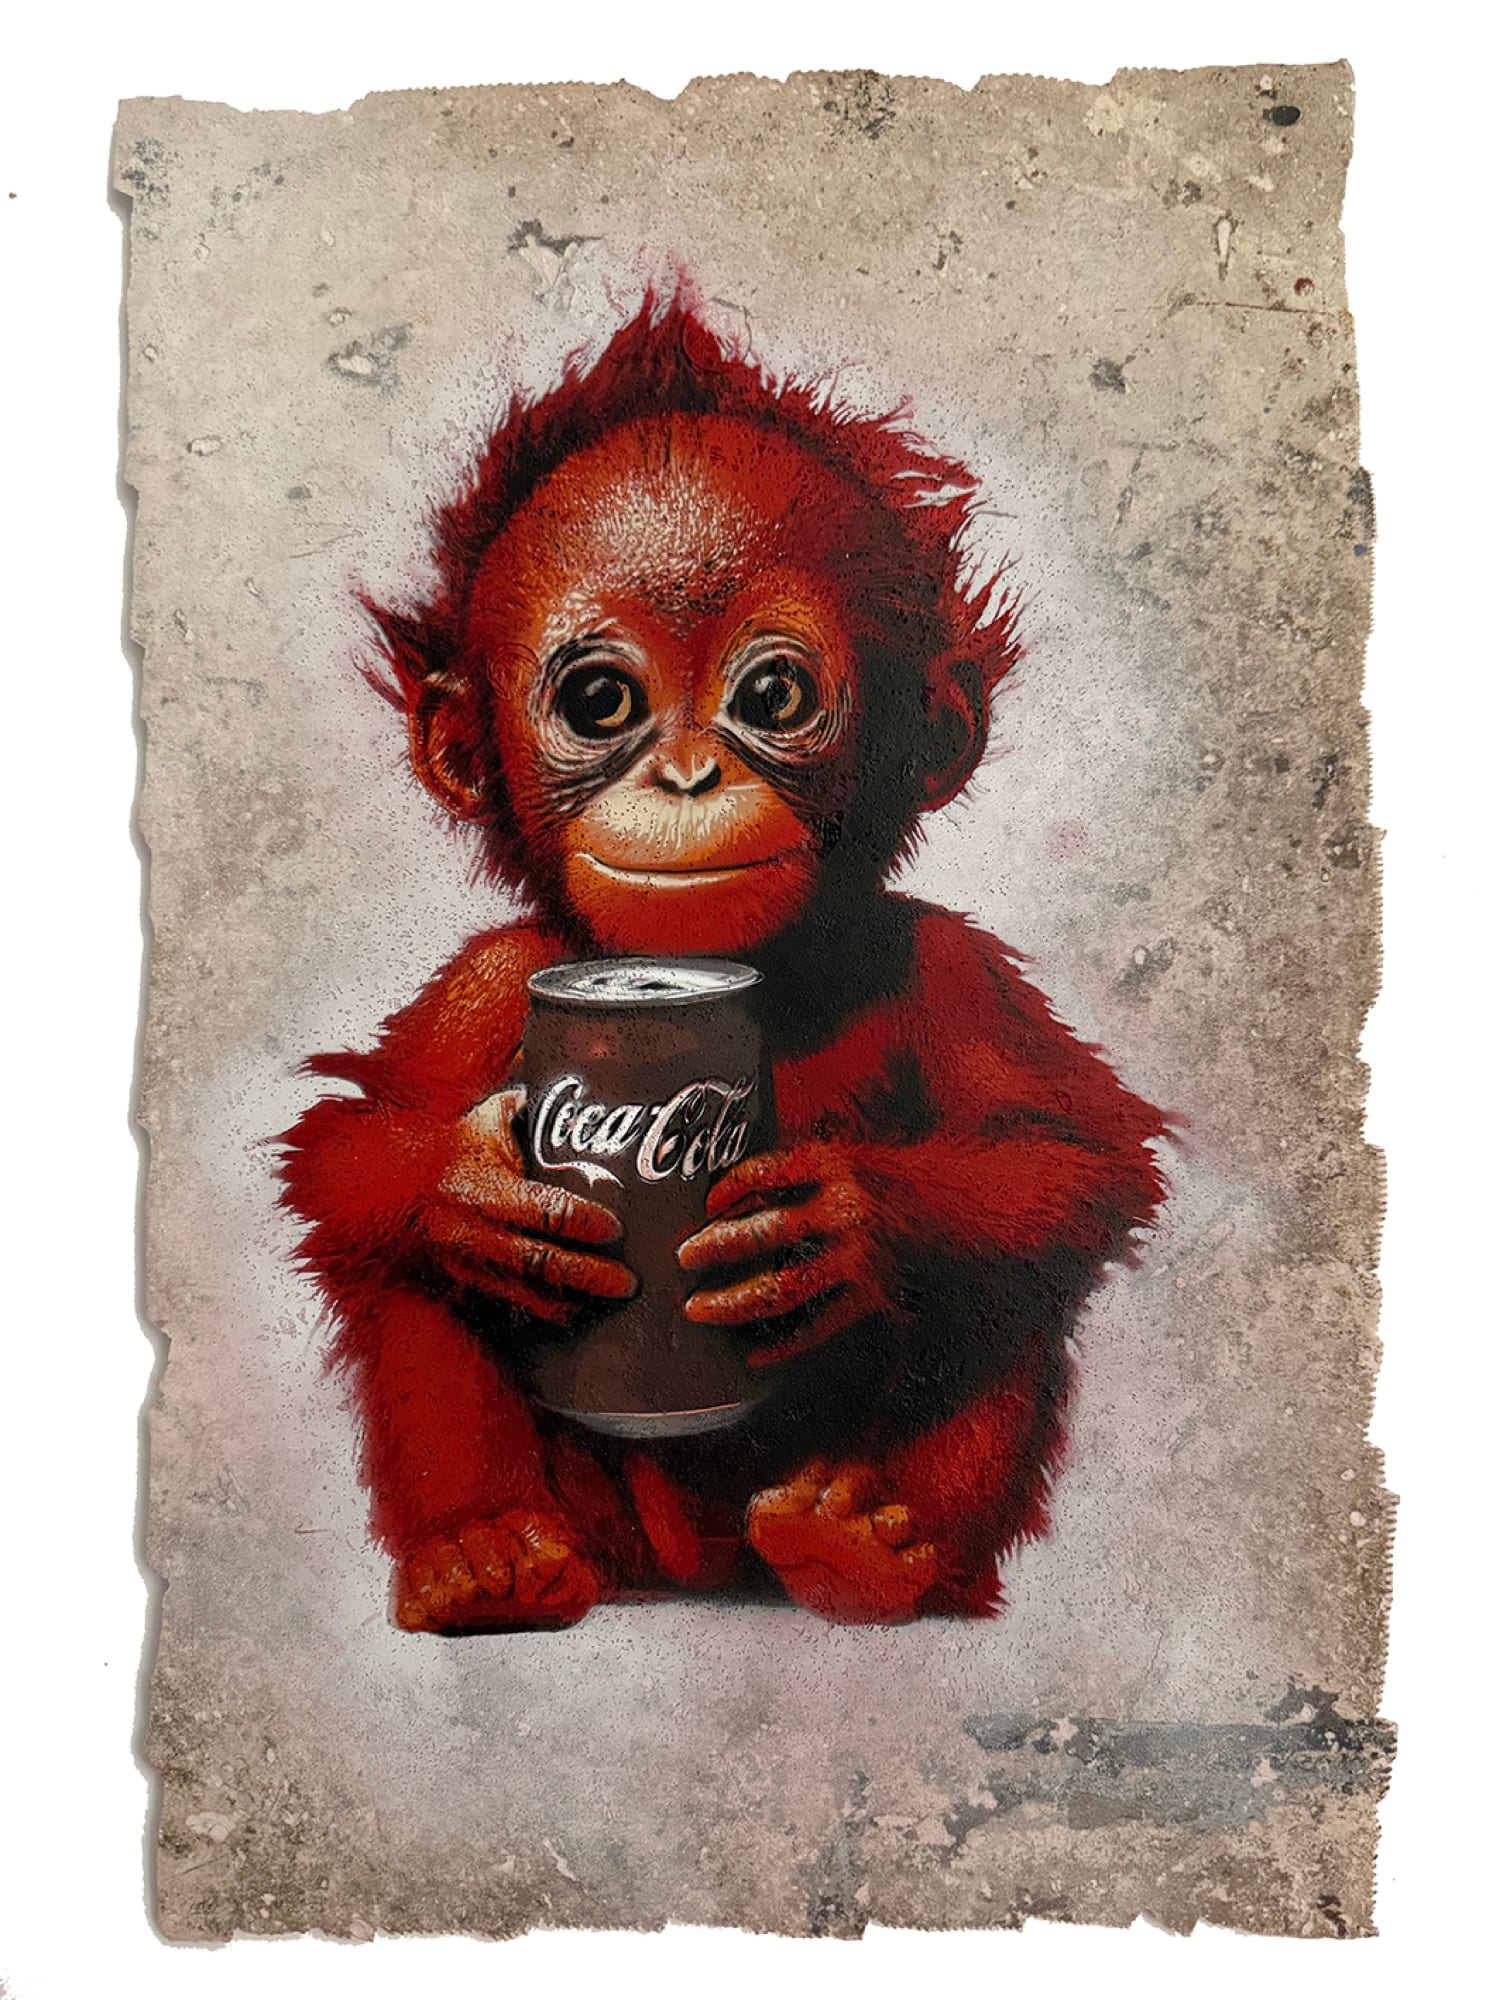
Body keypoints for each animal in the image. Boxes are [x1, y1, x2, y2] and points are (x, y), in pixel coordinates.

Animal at [279, 286, 1168, 1631]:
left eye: (773, 695)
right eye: (601, 702)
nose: (689, 773)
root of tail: (693, 1571)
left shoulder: (949, 961)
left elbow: (1066, 1147)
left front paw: (838, 1220)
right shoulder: (497, 978)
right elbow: (359, 1142)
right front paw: (478, 1188)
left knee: (1010, 1279)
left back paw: (864, 1543)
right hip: (605, 1525)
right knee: (419, 1283)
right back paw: (484, 1559)